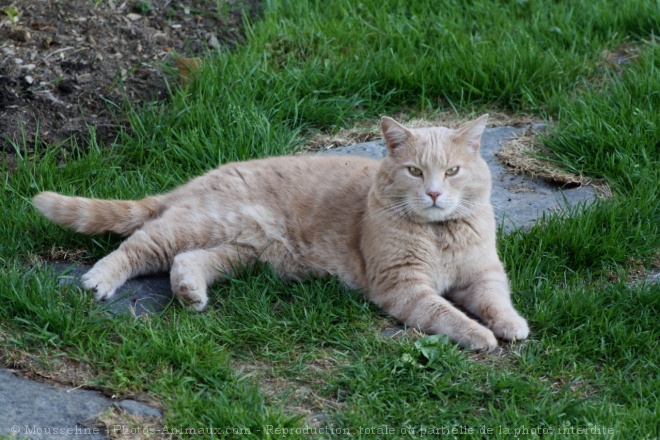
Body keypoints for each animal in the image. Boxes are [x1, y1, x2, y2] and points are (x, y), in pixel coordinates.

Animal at [34, 115, 532, 352]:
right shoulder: (402, 286)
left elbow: (496, 300)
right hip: (199, 225)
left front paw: (511, 325)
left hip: (240, 252)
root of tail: (194, 181)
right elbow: (447, 314)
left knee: (186, 262)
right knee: (137, 245)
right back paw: (98, 280)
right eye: (414, 171)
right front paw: (480, 335)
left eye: (452, 171)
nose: (433, 192)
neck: (440, 234)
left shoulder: (483, 273)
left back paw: (191, 293)